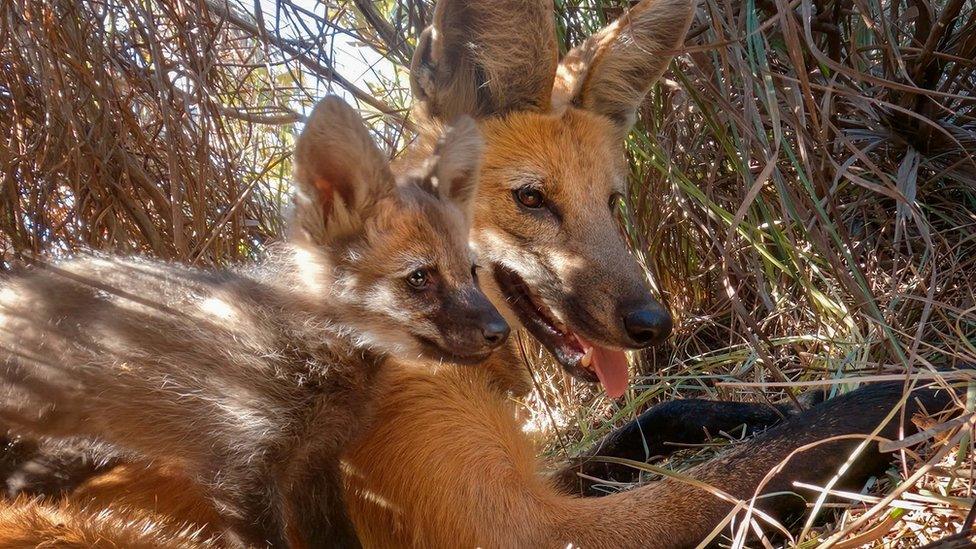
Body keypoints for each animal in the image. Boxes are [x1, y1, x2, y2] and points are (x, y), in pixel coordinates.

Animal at [0, 0, 960, 544]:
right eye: (533, 200)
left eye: (613, 201)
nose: (656, 324)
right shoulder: (519, 528)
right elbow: (758, 466)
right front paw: (918, 392)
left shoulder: (527, 476)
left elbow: (665, 422)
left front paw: (749, 404)